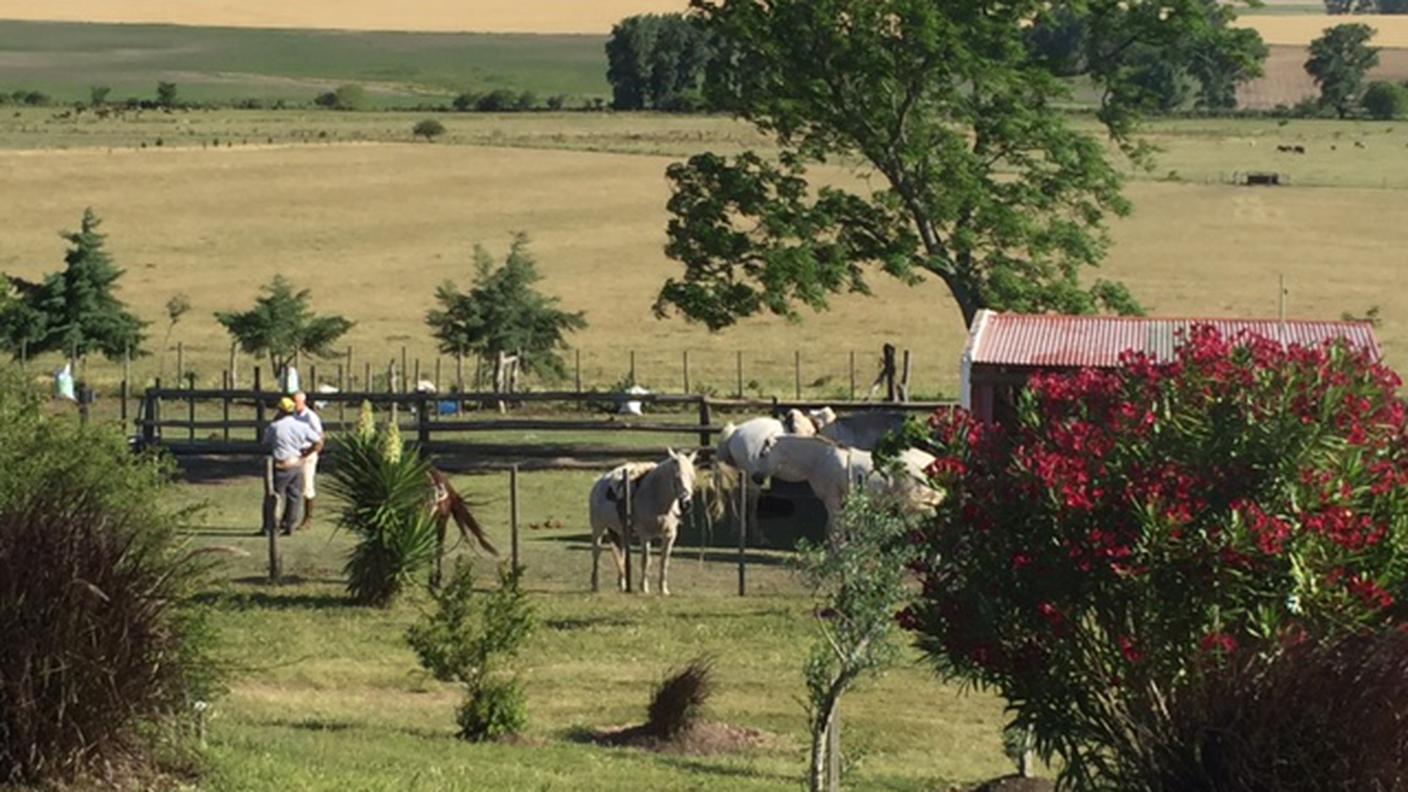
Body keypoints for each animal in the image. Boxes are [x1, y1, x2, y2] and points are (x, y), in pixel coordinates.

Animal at [585, 450, 695, 591]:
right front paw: (644, 587)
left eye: (692, 477)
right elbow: (646, 560)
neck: (656, 497)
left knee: (621, 554)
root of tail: (598, 485)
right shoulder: (645, 535)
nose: (687, 504)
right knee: (596, 553)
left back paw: (622, 584)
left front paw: (663, 589)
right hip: (598, 528)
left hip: (621, 532)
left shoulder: (670, 536)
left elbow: (664, 561)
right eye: (677, 477)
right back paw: (595, 584)